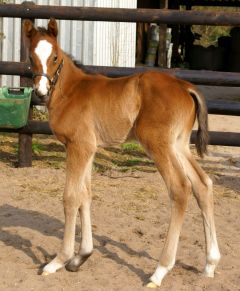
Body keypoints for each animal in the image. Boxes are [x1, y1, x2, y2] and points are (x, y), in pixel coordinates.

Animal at [23, 19, 220, 288]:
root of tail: (185, 86)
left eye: (54, 57)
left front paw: (58, 260)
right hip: (178, 144)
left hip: (157, 144)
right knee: (203, 184)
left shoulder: (78, 146)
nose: (41, 91)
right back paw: (210, 263)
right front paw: (81, 256)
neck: (70, 91)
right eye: (31, 56)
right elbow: (85, 195)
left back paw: (159, 271)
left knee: (180, 188)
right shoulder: (89, 148)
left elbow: (70, 197)